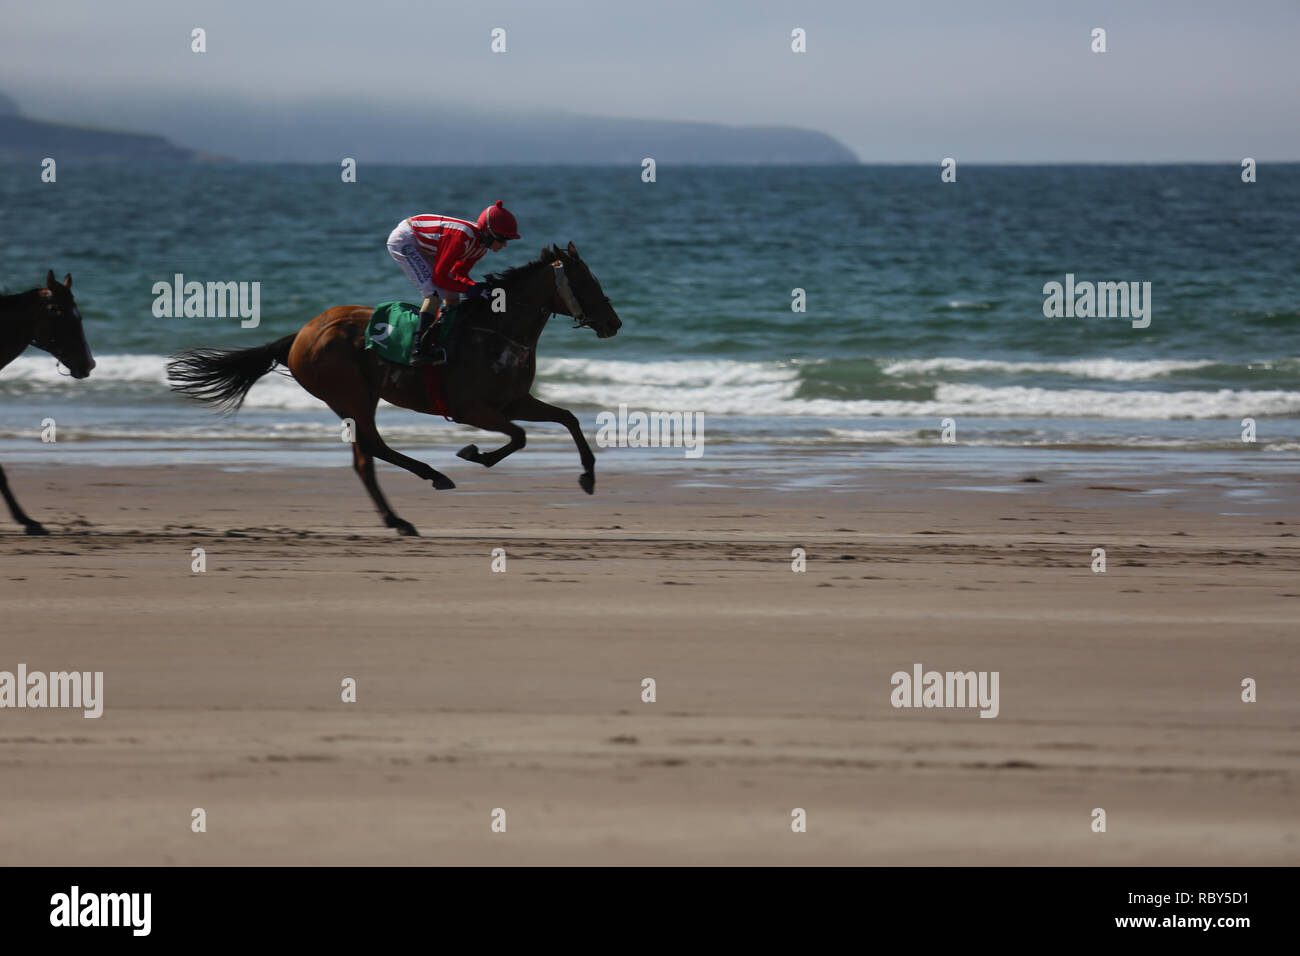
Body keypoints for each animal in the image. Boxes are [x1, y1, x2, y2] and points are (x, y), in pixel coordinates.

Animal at [166, 243, 618, 535]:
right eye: (586, 280)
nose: (614, 323)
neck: (498, 330)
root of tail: (300, 334)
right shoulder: (473, 409)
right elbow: (520, 437)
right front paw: (474, 453)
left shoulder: (514, 400)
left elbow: (567, 418)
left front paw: (588, 477)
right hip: (349, 393)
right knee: (374, 447)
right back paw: (432, 478)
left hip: (358, 397)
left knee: (364, 458)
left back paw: (397, 517)